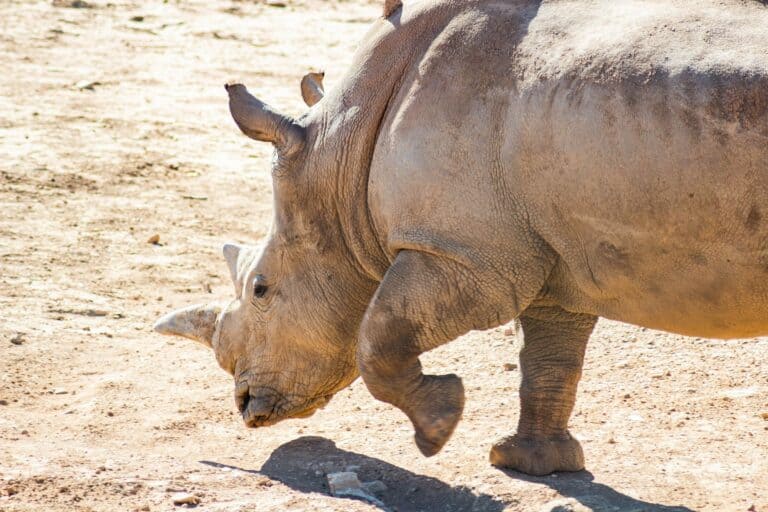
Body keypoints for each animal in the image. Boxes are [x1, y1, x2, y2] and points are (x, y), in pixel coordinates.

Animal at [155, 0, 768, 476]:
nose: (246, 406)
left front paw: (439, 428)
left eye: (261, 289)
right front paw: (531, 464)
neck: (340, 162)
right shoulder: (551, 255)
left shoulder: (467, 256)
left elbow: (378, 336)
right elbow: (549, 355)